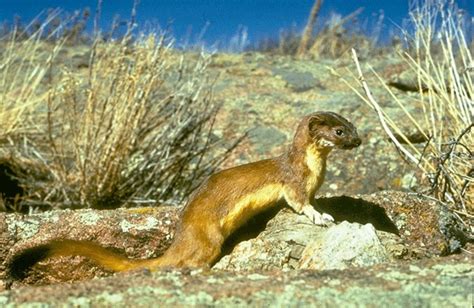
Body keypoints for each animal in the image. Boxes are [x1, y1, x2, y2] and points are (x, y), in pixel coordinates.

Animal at [9, 110, 362, 280]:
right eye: (339, 131)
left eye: (354, 126)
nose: (359, 141)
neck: (315, 170)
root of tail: (180, 238)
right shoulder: (293, 182)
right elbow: (300, 204)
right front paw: (322, 216)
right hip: (209, 239)